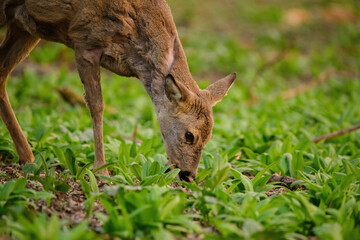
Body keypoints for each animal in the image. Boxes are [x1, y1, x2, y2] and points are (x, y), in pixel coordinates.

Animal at [0, 0, 236, 181]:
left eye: (210, 137)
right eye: (189, 135)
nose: (188, 175)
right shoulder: (84, 42)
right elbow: (97, 105)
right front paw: (100, 169)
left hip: (25, 26)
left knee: (2, 72)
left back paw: (28, 157)